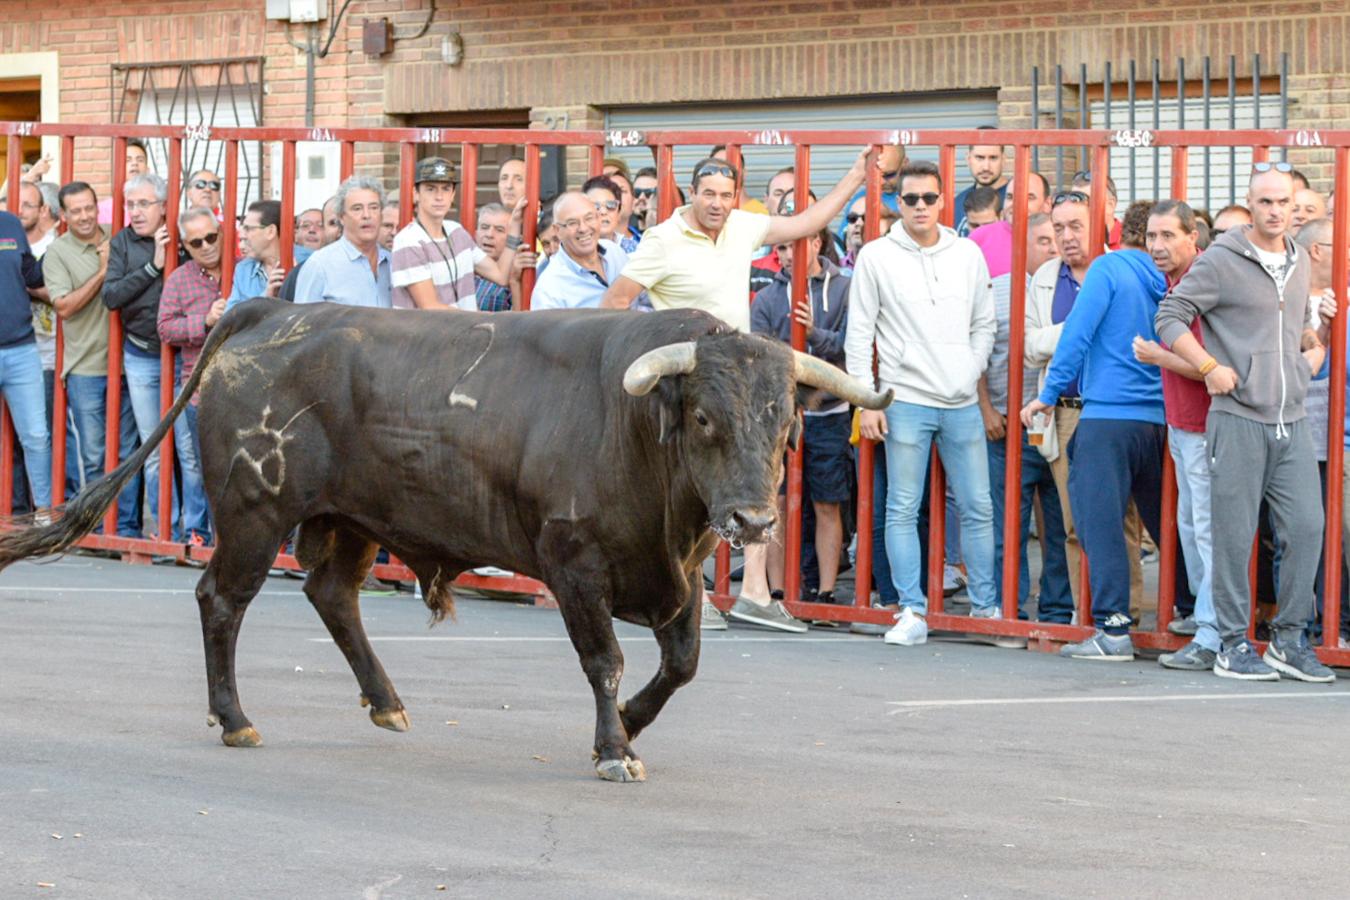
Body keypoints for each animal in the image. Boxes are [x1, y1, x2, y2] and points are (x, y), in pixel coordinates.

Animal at [0, 300, 885, 782]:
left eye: (785, 421)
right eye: (703, 416)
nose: (755, 522)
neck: (635, 434)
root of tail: (278, 310)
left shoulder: (682, 574)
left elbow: (682, 667)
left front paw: (631, 726)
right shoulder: (573, 565)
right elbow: (604, 660)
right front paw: (611, 747)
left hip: (352, 519)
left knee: (332, 595)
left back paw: (387, 703)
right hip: (254, 510)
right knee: (222, 598)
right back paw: (236, 717)